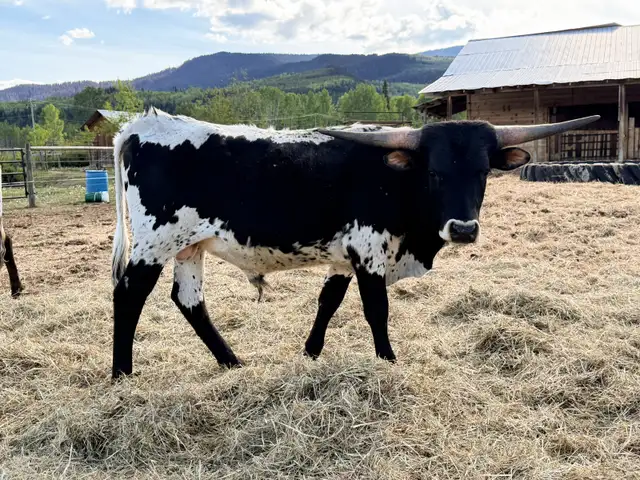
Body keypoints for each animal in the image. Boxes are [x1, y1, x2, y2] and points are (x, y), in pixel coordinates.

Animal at [110, 108, 599, 379]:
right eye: (435, 172)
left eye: (482, 172)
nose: (462, 229)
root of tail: (139, 126)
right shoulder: (369, 250)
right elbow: (376, 310)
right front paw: (388, 362)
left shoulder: (344, 257)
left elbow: (328, 302)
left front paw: (309, 355)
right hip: (154, 243)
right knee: (129, 296)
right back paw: (122, 375)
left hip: (188, 247)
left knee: (189, 301)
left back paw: (232, 364)